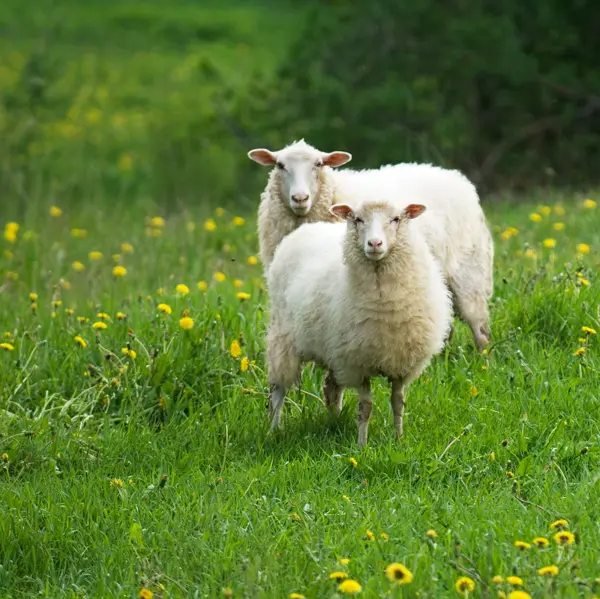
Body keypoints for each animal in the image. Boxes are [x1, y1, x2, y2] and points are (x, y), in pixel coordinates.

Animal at [248, 140, 492, 352]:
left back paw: (483, 360)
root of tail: (455, 177)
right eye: (280, 165)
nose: (300, 198)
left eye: (319, 164)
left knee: (479, 325)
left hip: (468, 272)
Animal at [264, 198, 452, 446]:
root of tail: (307, 228)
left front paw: (399, 439)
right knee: (278, 389)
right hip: (283, 338)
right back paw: (274, 430)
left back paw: (334, 423)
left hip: (334, 350)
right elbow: (366, 407)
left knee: (331, 389)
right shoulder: (358, 362)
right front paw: (362, 445)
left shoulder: (400, 362)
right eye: (358, 219)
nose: (374, 243)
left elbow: (398, 403)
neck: (385, 303)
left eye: (396, 219)